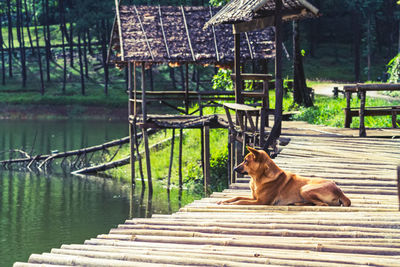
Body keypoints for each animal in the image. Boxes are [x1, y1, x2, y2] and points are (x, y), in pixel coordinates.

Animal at [219, 147, 350, 207]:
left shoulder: (261, 201)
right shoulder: (254, 198)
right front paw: (225, 200)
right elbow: (237, 197)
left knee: (322, 204)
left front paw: (229, 204)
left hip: (304, 188)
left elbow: (241, 201)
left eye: (246, 161)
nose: (234, 168)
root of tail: (339, 191)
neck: (257, 179)